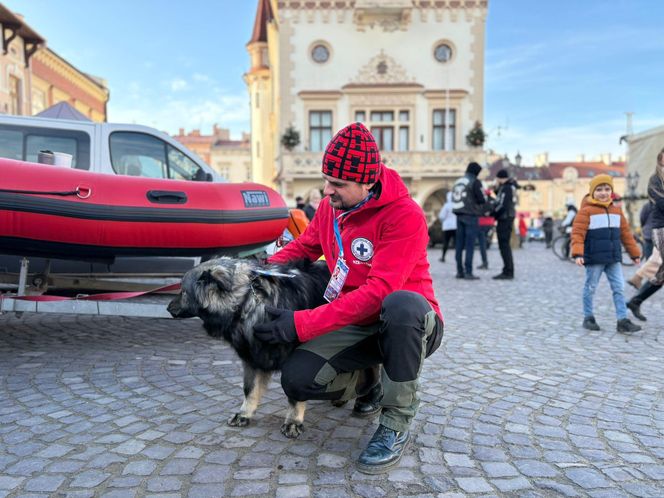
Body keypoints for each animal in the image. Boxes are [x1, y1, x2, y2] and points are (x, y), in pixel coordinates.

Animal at [169, 256, 330, 436]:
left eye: (183, 292)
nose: (168, 308)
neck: (247, 302)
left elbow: (293, 395)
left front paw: (293, 421)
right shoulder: (252, 358)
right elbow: (250, 389)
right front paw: (244, 413)